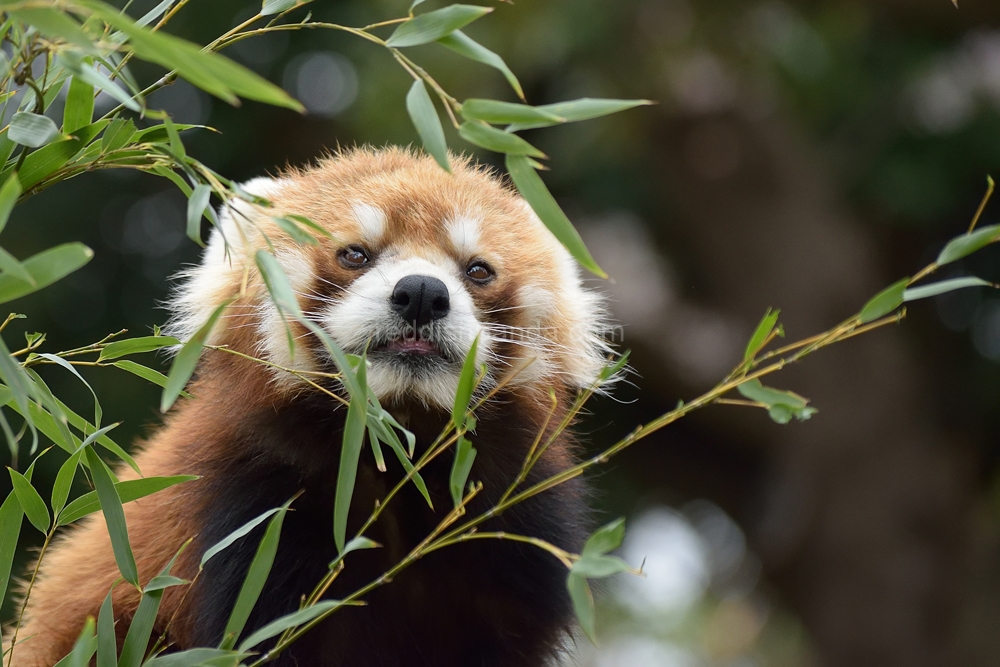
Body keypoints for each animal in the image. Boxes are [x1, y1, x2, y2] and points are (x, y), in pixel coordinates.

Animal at [7, 149, 612, 664]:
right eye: (354, 254)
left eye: (478, 269)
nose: (421, 292)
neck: (394, 460)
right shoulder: (251, 522)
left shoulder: (511, 546)